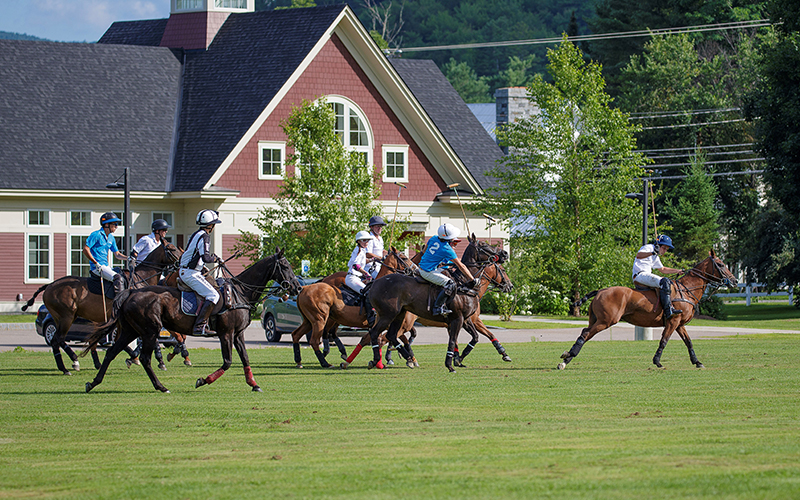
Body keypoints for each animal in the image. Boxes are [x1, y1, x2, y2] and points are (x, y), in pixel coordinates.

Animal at [21, 240, 181, 374]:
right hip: (67, 316)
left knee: (59, 340)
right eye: (172, 248)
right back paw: (69, 365)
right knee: (57, 339)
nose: (182, 261)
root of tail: (49, 286)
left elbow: (120, 341)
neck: (139, 279)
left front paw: (134, 358)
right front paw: (154, 360)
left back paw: (71, 363)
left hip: (61, 317)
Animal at [82, 248, 300, 392]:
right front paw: (203, 380)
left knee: (111, 352)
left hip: (131, 330)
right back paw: (161, 386)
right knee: (144, 358)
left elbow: (245, 358)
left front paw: (254, 384)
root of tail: (129, 293)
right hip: (150, 330)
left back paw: (93, 382)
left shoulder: (238, 334)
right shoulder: (226, 333)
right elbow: (228, 362)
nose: (297, 287)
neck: (240, 292)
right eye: (285, 266)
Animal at [288, 249, 416, 370]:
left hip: (309, 321)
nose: (415, 270)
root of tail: (303, 288)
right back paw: (325, 362)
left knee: (296, 334)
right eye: (404, 257)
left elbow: (380, 338)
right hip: (320, 319)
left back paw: (299, 361)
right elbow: (383, 339)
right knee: (315, 340)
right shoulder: (384, 322)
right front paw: (405, 359)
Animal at [556, 250, 736, 372]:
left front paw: (697, 362)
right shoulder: (673, 321)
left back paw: (567, 358)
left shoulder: (680, 324)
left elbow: (688, 341)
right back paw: (566, 359)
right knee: (586, 334)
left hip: (596, 319)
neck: (686, 290)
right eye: (721, 264)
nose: (734, 281)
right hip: (606, 321)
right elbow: (664, 340)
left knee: (584, 332)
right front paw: (657, 361)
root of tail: (600, 291)